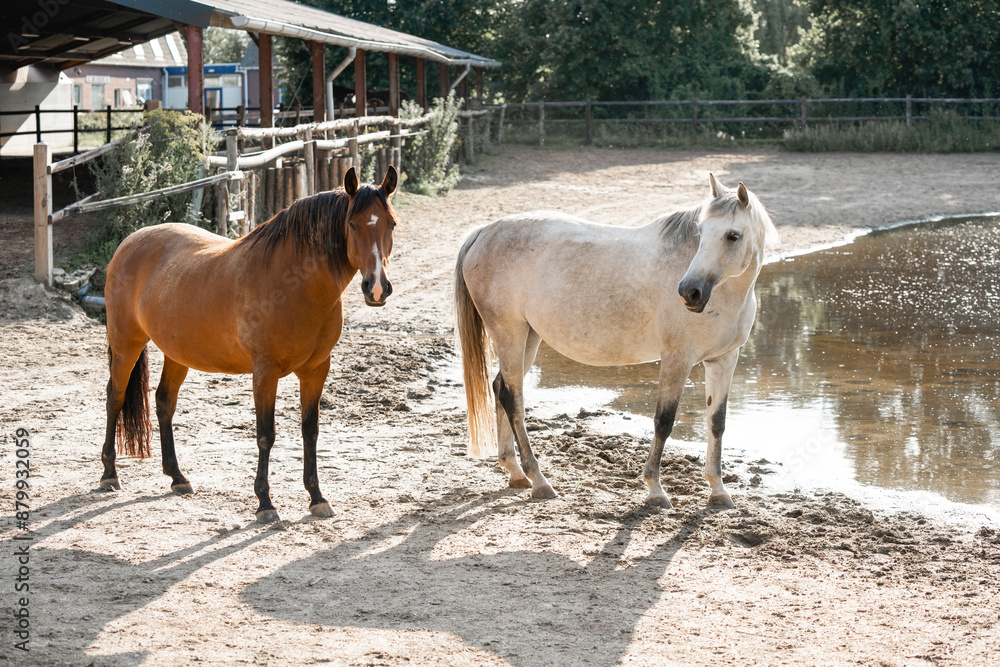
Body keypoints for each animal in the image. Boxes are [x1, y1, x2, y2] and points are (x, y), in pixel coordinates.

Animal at [100, 166, 399, 523]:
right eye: (352, 224)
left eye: (391, 224)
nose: (377, 287)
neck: (294, 285)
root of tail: (130, 242)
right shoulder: (265, 372)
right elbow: (265, 434)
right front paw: (265, 503)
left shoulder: (316, 370)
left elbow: (309, 430)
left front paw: (316, 497)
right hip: (125, 344)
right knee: (115, 398)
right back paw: (109, 474)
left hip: (177, 354)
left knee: (164, 403)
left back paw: (177, 477)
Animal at [455, 174, 778, 509]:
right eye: (700, 233)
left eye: (732, 235)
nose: (689, 292)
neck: (726, 295)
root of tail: (482, 233)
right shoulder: (677, 359)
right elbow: (664, 421)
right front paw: (655, 490)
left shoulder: (723, 360)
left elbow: (717, 422)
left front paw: (718, 490)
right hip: (510, 335)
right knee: (513, 399)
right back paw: (539, 481)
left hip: (527, 339)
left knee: (499, 388)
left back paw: (516, 472)